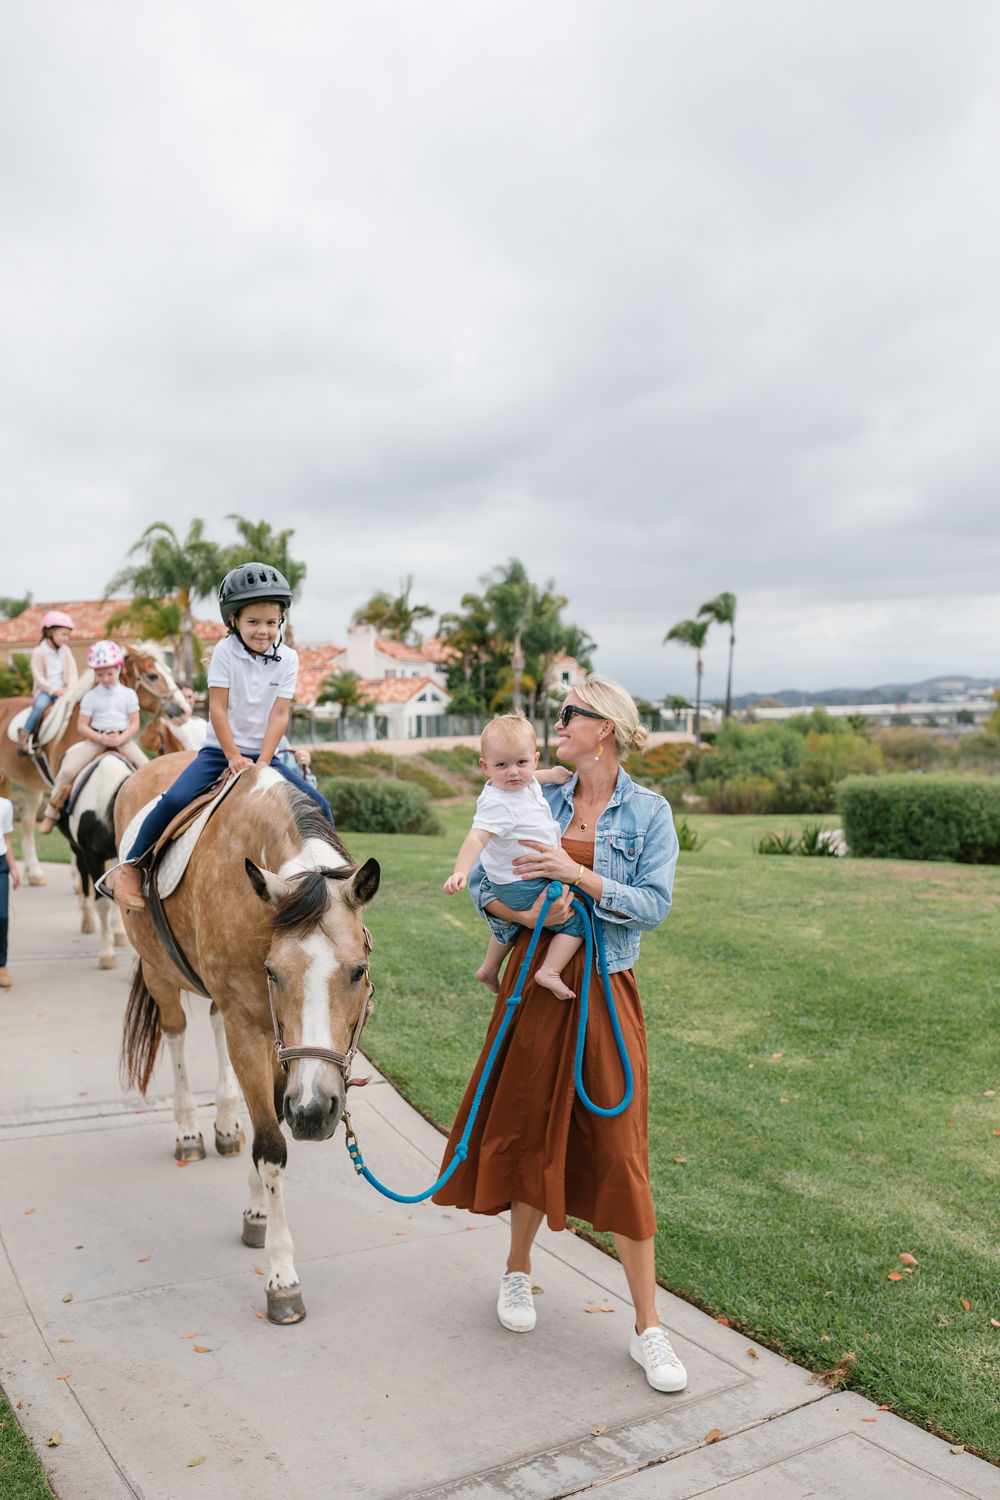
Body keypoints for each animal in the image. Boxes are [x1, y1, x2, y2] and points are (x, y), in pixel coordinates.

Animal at [114, 762, 379, 1326]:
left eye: (358, 972)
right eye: (273, 972)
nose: (315, 1110)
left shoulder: (278, 1048)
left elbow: (270, 1122)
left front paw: (257, 1209)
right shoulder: (249, 1026)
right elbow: (272, 1147)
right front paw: (282, 1276)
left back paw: (225, 1122)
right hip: (159, 972)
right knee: (176, 1036)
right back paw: (189, 1130)